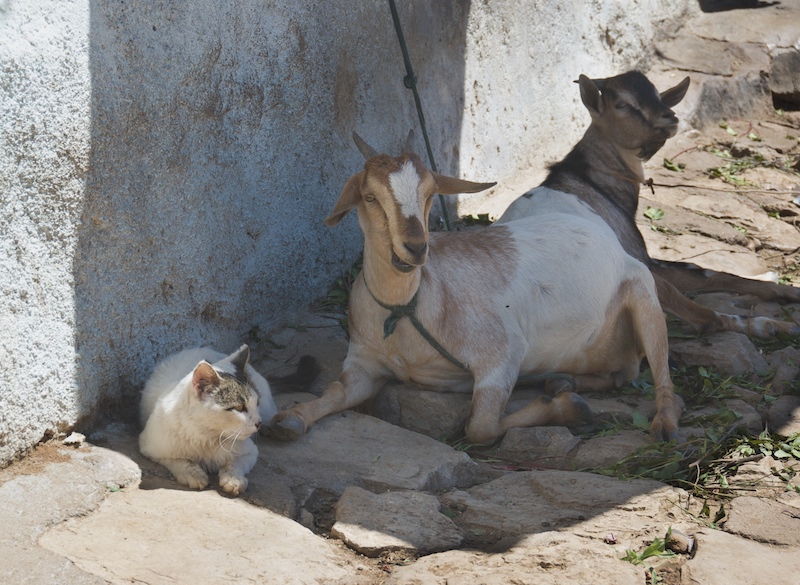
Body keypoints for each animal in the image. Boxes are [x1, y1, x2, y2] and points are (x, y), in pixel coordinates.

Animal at [138, 344, 276, 496]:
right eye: (239, 407)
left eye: (257, 403)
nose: (258, 423)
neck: (207, 436)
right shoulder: (150, 447)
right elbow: (181, 460)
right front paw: (194, 474)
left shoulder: (250, 452)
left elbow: (234, 464)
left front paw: (233, 479)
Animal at [270, 132, 680, 442]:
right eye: (369, 196)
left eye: (429, 194)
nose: (415, 247)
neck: (408, 309)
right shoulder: (363, 364)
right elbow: (336, 392)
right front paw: (290, 419)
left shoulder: (501, 355)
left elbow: (480, 427)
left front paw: (569, 411)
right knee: (619, 375)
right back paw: (562, 381)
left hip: (643, 295)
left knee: (658, 371)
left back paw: (662, 424)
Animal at [500, 70, 800, 338]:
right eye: (622, 104)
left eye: (658, 95)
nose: (670, 117)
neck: (590, 182)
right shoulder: (639, 256)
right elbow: (707, 276)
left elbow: (711, 272)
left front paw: (784, 288)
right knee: (707, 319)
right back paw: (775, 327)